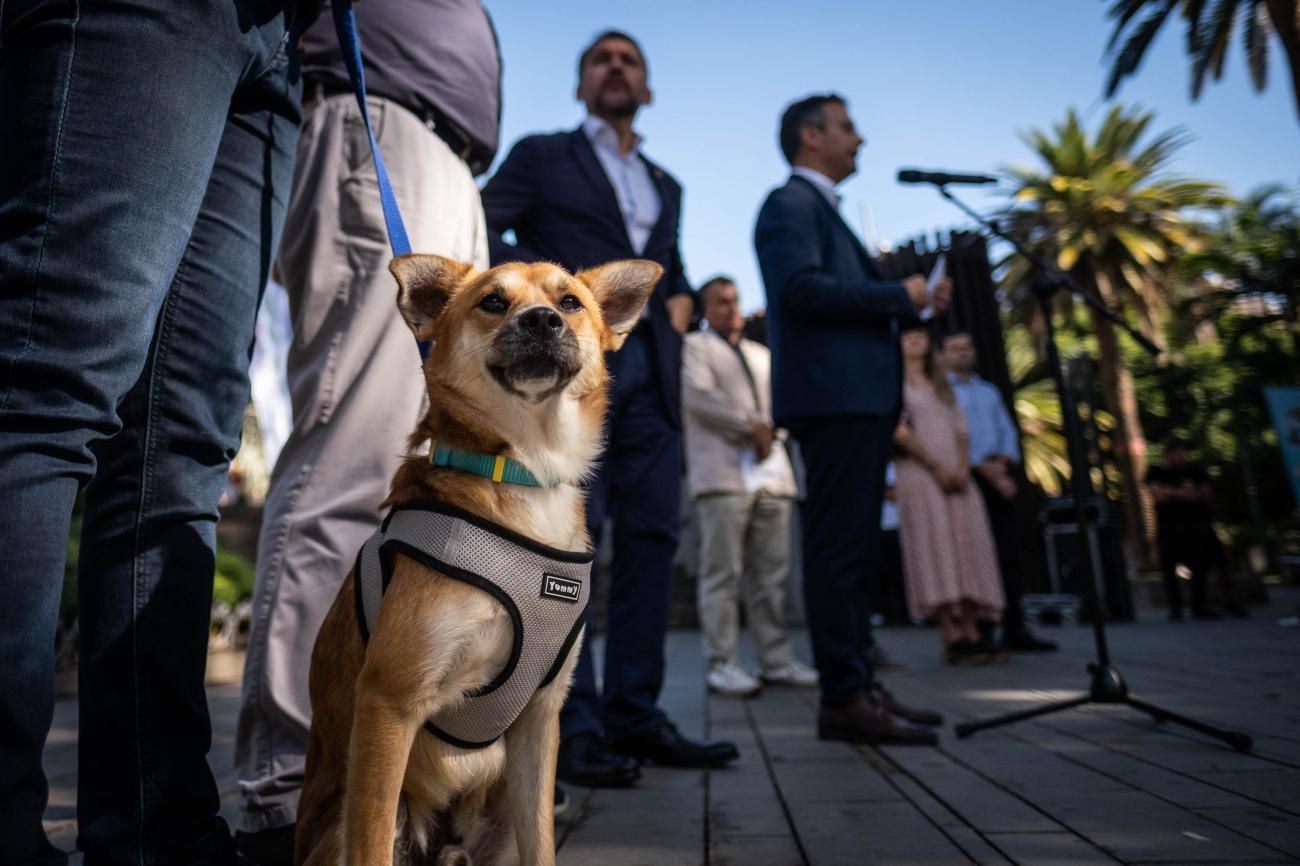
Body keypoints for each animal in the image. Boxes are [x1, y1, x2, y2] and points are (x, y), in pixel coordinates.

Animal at [295, 254, 660, 863]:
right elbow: (371, 840)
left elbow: (543, 844)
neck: (525, 469)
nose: (542, 321)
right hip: (354, 821)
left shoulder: (540, 718)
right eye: (492, 302)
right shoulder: (389, 700)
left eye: (569, 303)